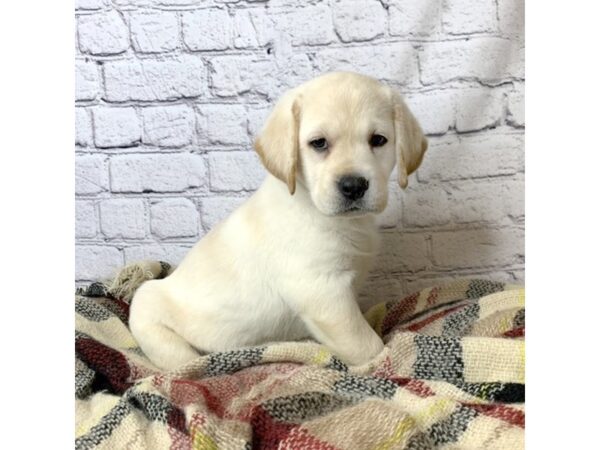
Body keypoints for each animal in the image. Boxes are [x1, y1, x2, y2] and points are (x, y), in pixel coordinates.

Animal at [130, 72, 426, 370]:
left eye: (378, 140)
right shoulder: (323, 292)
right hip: (151, 317)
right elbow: (366, 344)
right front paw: (388, 360)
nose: (353, 186)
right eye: (319, 143)